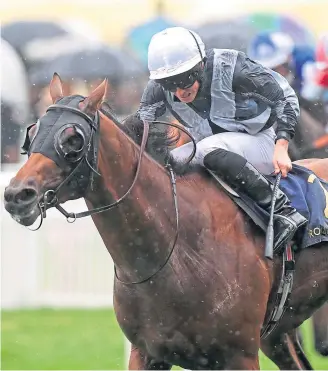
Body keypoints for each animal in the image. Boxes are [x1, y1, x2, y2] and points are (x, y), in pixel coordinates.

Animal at [3, 74, 328, 370]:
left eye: (73, 139)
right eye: (33, 132)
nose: (17, 195)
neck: (178, 250)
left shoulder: (240, 355)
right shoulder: (146, 353)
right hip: (277, 334)